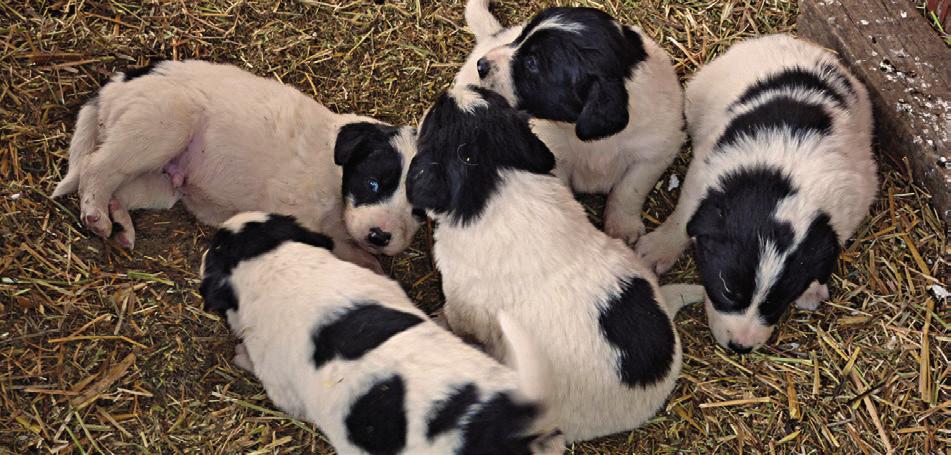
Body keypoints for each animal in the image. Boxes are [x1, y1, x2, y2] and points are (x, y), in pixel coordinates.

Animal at [53, 57, 420, 270]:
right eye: (372, 183)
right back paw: (96, 215)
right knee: (96, 167)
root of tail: (120, 80)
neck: (336, 174)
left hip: (160, 181)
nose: (379, 236)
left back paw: (122, 225)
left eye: (419, 210)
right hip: (161, 126)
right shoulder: (295, 209)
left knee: (119, 188)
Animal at [458, 0, 688, 246]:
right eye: (521, 37)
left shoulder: (655, 153)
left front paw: (622, 228)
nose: (482, 65)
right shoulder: (554, 160)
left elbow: (628, 190)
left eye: (531, 63)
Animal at [636, 35, 880, 354]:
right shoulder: (704, 171)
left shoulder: (854, 199)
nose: (741, 347)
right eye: (728, 291)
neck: (788, 183)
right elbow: (683, 216)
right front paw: (658, 249)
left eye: (779, 301)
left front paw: (812, 289)